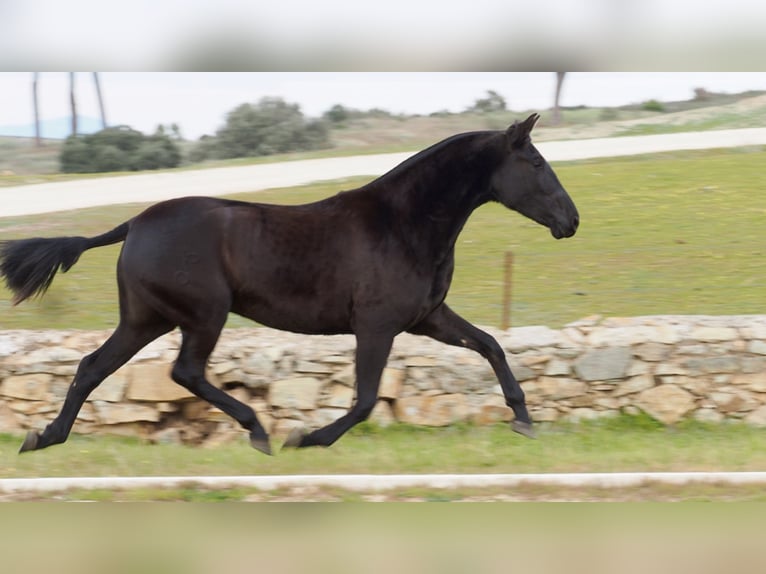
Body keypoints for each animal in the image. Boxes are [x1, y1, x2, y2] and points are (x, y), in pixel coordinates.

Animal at [0, 115, 576, 456]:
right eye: (536, 162)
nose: (570, 221)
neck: (402, 223)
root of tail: (134, 224)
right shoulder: (377, 324)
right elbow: (366, 399)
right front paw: (308, 437)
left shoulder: (426, 317)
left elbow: (491, 345)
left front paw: (524, 419)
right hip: (202, 315)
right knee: (184, 371)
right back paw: (257, 429)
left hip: (147, 318)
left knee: (92, 367)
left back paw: (44, 437)